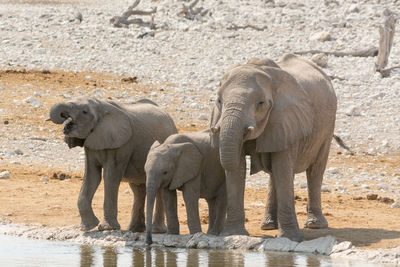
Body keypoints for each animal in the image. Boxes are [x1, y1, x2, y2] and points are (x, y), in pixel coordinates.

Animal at [48, 96, 177, 232]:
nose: (65, 121)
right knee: (138, 189)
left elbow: (110, 177)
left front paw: (107, 228)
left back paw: (156, 230)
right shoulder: (92, 144)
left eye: (84, 112)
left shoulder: (121, 144)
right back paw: (134, 229)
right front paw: (87, 227)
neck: (101, 106)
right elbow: (91, 177)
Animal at [209, 54, 338, 243]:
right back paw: (268, 225)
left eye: (261, 103)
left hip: (327, 127)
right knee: (274, 174)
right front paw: (233, 234)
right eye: (219, 101)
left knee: (314, 170)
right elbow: (237, 168)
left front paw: (291, 239)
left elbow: (282, 167)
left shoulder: (286, 119)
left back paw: (314, 225)